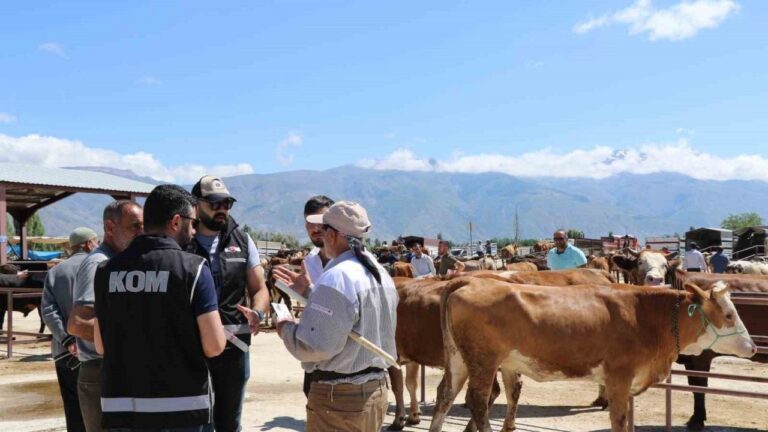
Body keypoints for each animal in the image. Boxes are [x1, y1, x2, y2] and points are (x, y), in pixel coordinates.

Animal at [432, 276, 756, 432]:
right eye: (729, 315)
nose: (753, 347)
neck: (645, 316)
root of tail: (471, 281)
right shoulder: (619, 378)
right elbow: (619, 420)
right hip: (483, 361)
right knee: (477, 401)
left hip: (460, 360)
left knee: (446, 394)